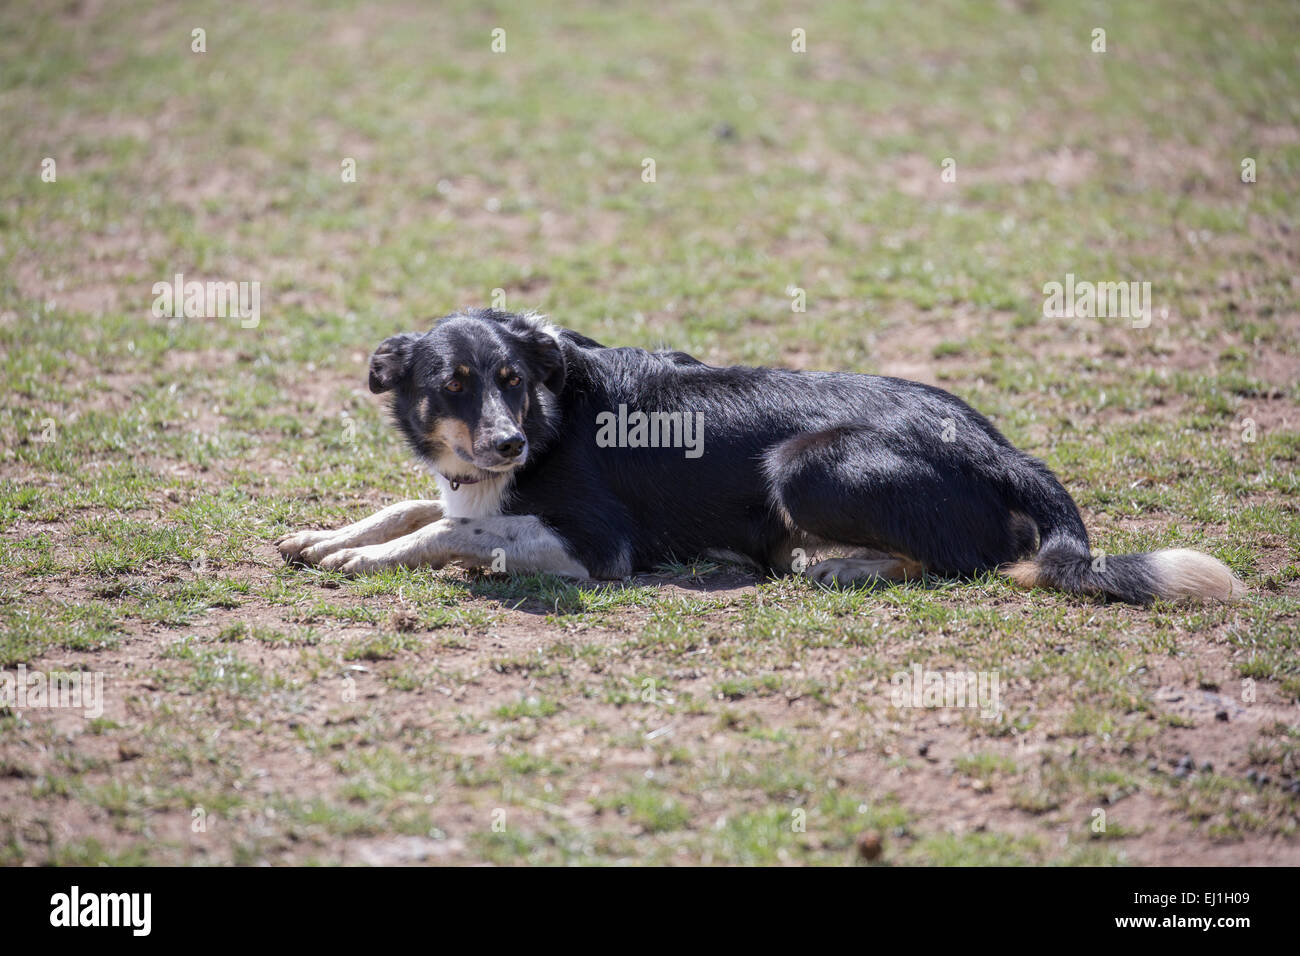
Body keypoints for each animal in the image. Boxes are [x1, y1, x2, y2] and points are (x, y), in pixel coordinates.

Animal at [279, 310, 1242, 600]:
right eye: (452, 385)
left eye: (513, 380)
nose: (507, 441)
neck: (548, 419)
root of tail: (999, 445)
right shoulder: (470, 488)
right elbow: (417, 507)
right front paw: (327, 538)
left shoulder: (596, 547)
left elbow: (449, 532)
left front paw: (366, 558)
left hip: (807, 462)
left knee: (971, 558)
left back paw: (839, 565)